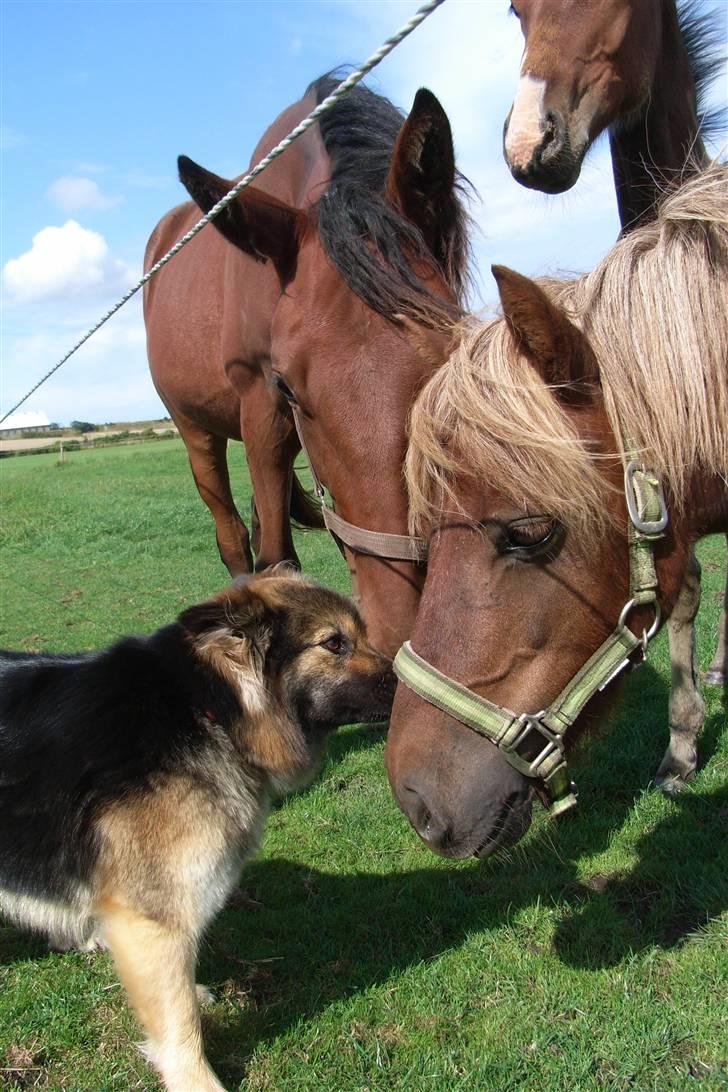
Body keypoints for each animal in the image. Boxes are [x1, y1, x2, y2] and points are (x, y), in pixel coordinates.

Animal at [0, 572, 395, 1092]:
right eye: (334, 642)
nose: (404, 680)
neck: (208, 711)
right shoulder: (155, 922)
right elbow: (178, 1020)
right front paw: (196, 1079)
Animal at [145, 80, 469, 655]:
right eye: (286, 386)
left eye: (451, 357)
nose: (401, 629)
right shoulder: (261, 406)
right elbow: (277, 559)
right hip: (194, 427)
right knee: (233, 535)